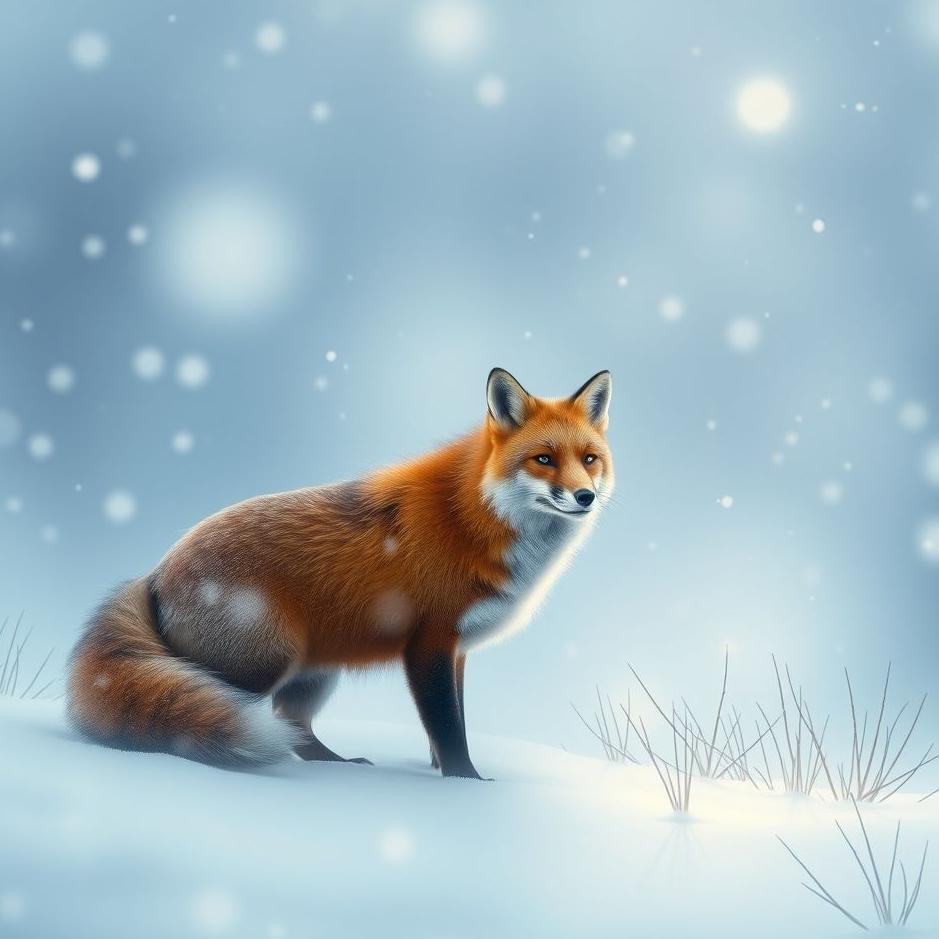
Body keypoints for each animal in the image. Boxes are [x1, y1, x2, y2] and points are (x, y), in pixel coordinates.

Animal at [67, 367, 613, 779]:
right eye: (543, 459)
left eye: (589, 460)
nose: (585, 496)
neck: (474, 516)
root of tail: (156, 571)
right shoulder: (429, 642)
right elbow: (447, 724)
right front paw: (466, 782)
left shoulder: (457, 649)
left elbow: (447, 722)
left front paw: (444, 772)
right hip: (262, 661)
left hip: (314, 671)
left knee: (294, 725)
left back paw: (337, 763)